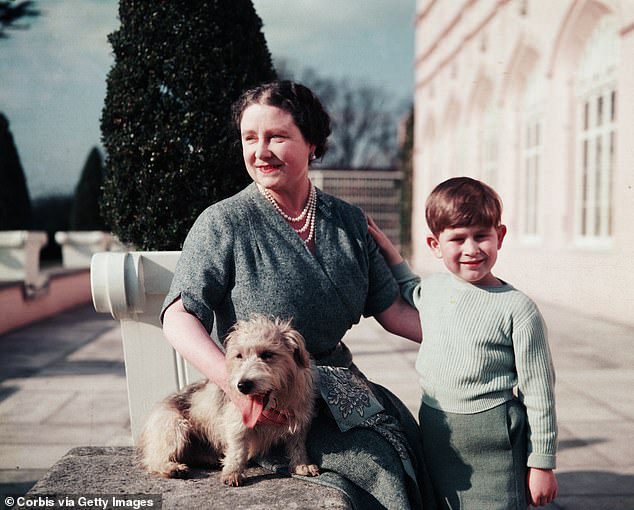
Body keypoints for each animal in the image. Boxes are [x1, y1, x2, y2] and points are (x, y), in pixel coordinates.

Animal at [136, 314, 318, 486]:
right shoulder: (237, 423)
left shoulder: (300, 420)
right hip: (174, 425)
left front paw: (301, 464)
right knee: (152, 459)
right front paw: (233, 472)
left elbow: (297, 445)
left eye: (267, 354)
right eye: (239, 356)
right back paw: (172, 468)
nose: (243, 385)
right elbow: (238, 449)